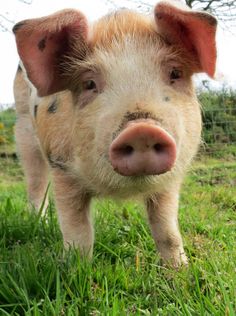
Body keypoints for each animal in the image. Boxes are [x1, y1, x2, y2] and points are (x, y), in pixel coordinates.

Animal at [12, 0, 216, 266]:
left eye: (175, 73)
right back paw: (40, 224)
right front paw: (76, 271)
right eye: (89, 84)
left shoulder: (171, 179)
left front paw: (180, 270)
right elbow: (77, 231)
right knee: (35, 182)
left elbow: (167, 230)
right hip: (24, 132)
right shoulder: (62, 167)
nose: (141, 130)